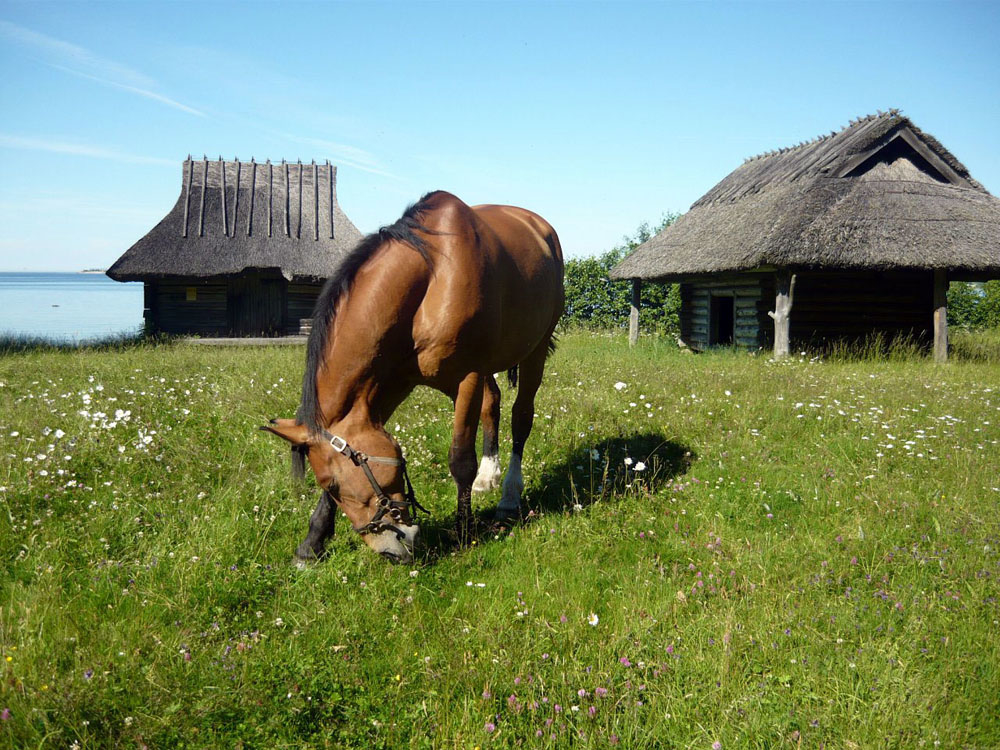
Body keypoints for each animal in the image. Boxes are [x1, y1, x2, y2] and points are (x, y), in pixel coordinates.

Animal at [264, 191, 564, 568]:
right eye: (329, 487)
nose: (392, 549)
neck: (433, 276)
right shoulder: (391, 385)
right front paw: (312, 543)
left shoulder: (465, 376)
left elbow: (460, 460)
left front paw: (463, 531)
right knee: (492, 403)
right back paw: (488, 476)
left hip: (534, 351)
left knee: (521, 417)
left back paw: (509, 496)